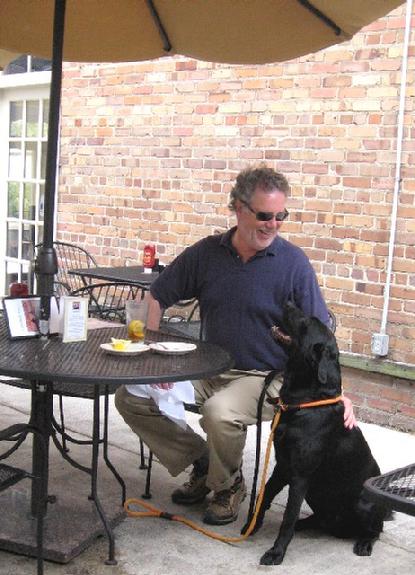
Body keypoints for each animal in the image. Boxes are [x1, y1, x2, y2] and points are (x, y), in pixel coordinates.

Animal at [252, 302, 388, 568]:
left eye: (306, 323)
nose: (288, 301)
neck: (304, 403)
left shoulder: (300, 475)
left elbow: (287, 518)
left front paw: (276, 552)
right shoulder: (282, 466)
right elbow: (265, 496)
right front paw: (251, 525)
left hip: (363, 504)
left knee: (375, 530)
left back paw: (364, 543)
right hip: (317, 496)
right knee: (318, 520)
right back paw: (305, 524)